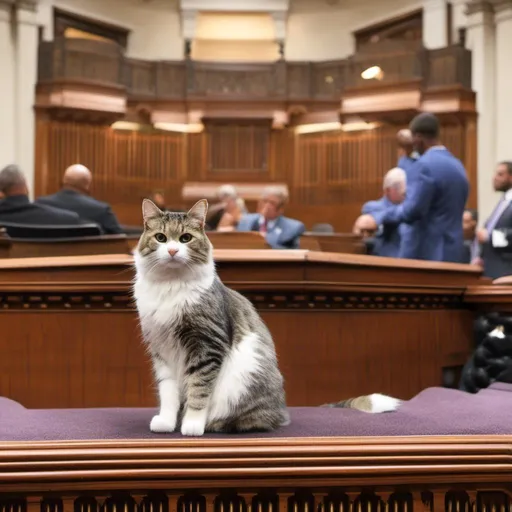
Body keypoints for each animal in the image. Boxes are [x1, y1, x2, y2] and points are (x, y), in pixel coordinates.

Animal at [134, 199, 290, 436]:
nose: (172, 250)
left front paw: (192, 424)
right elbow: (168, 392)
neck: (170, 285)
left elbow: (199, 390)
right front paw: (167, 422)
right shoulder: (162, 349)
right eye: (161, 237)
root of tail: (280, 413)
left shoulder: (206, 345)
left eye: (185, 238)